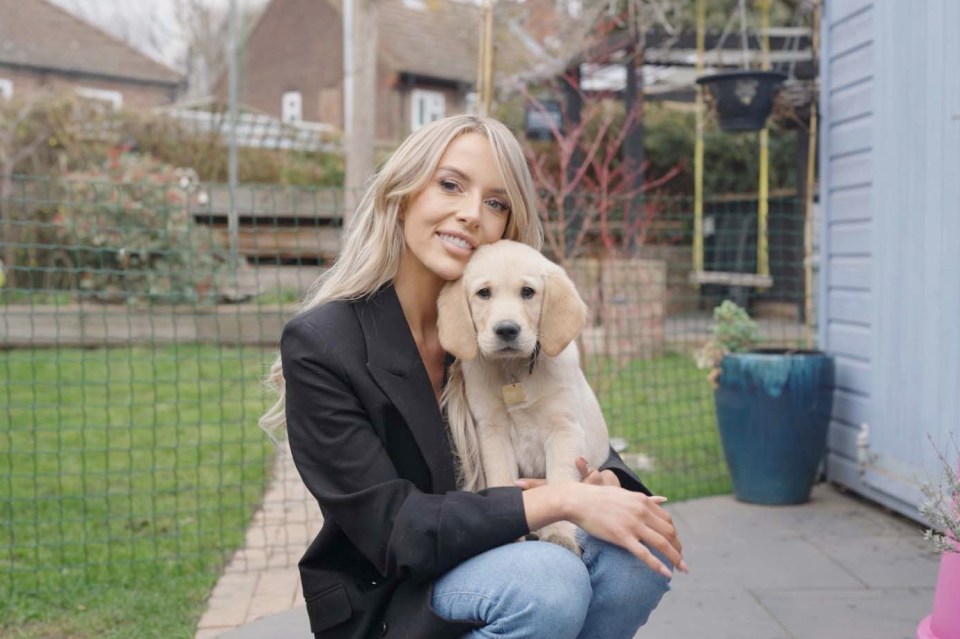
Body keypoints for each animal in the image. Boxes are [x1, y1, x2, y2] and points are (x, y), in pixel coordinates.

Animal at [436, 240, 608, 556]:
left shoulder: (564, 429)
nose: (506, 329)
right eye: (484, 293)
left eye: (528, 292)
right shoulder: (492, 432)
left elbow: (560, 484)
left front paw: (560, 534)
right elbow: (503, 480)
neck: (512, 370)